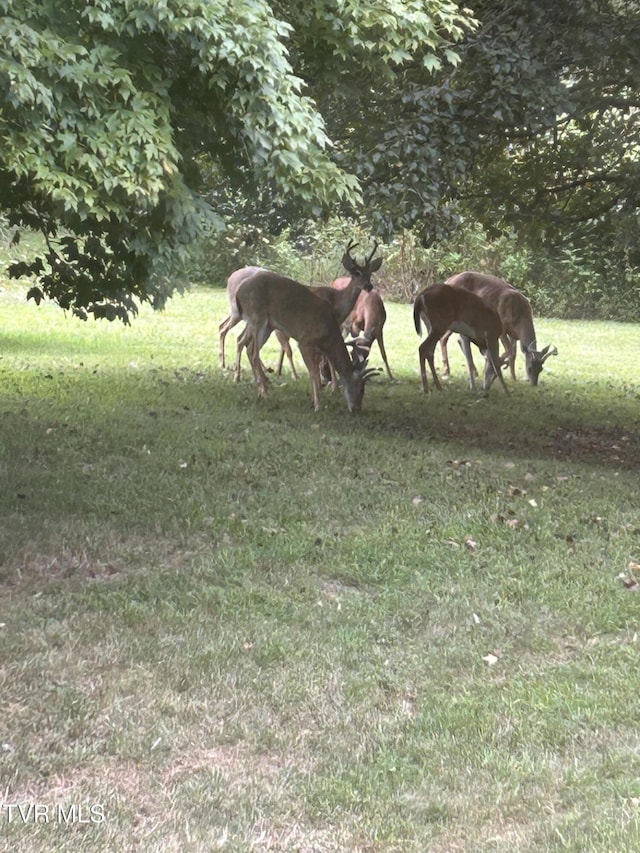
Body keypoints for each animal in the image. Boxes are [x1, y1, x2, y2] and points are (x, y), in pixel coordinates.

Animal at [234, 270, 380, 410]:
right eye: (361, 388)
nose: (357, 409)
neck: (329, 333)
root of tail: (239, 292)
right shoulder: (305, 341)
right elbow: (313, 371)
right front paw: (318, 405)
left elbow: (315, 368)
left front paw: (315, 398)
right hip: (257, 318)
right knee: (252, 351)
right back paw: (264, 392)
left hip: (267, 326)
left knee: (249, 348)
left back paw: (260, 389)